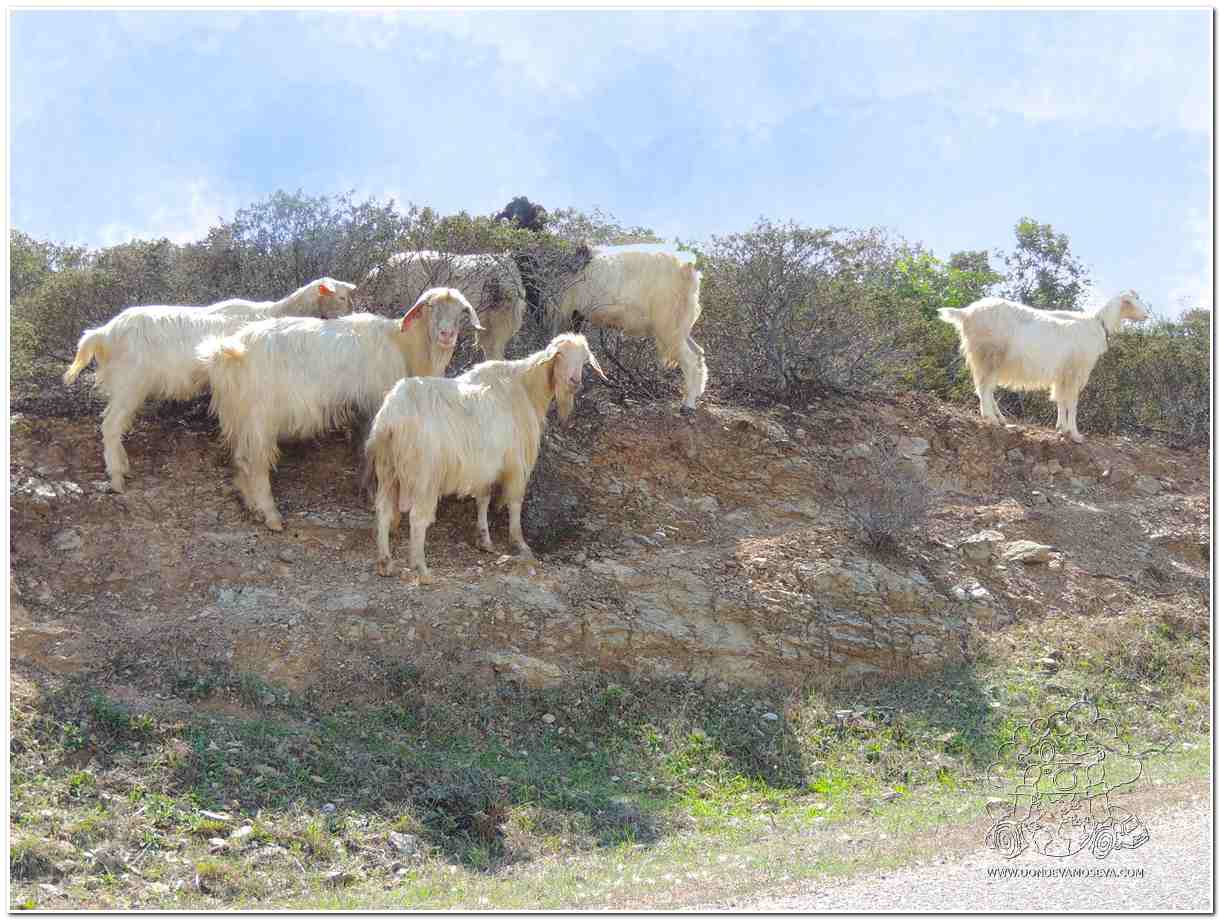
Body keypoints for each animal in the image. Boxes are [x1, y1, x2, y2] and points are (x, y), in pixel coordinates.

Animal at [938, 290, 1149, 442]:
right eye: (1131, 302)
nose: (1147, 315)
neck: (1097, 324)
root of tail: (965, 313)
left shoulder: (1062, 374)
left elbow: (1060, 400)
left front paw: (1061, 429)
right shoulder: (1075, 372)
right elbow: (1072, 402)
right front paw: (1075, 434)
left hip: (988, 360)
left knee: (986, 388)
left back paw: (1000, 419)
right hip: (989, 356)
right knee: (984, 387)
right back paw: (990, 418)